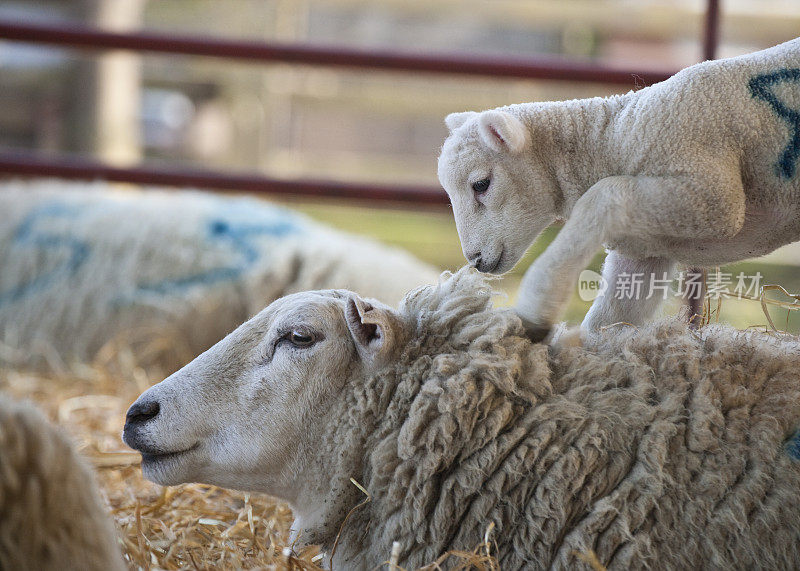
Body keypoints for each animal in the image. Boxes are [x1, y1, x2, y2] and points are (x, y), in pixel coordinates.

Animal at [438, 38, 800, 342]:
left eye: (481, 185)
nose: (475, 261)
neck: (611, 141)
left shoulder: (713, 196)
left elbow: (602, 195)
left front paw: (534, 310)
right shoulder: (644, 252)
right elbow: (610, 319)